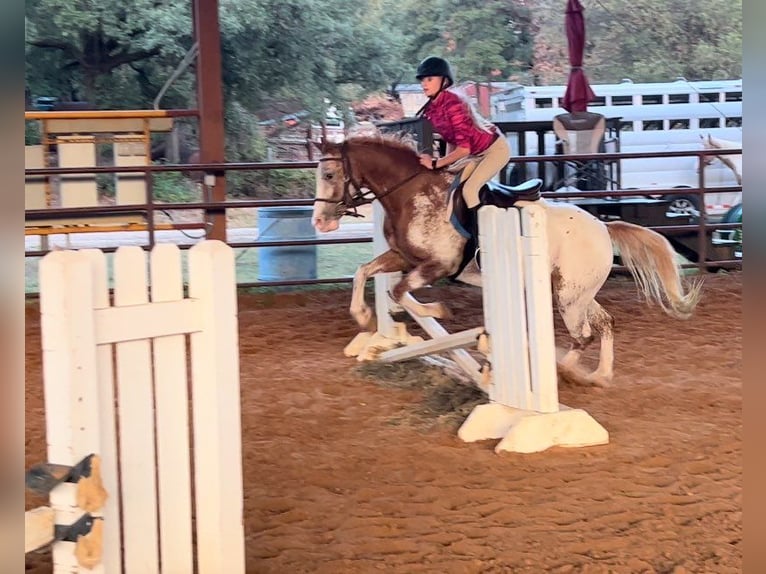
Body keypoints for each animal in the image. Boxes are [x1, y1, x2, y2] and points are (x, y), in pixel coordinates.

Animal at [310, 134, 704, 388]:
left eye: (329, 175)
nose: (320, 222)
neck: (412, 194)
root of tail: (603, 227)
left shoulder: (436, 266)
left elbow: (402, 292)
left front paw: (437, 311)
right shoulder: (402, 258)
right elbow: (365, 273)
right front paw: (365, 318)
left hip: (568, 296)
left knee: (583, 336)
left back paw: (563, 371)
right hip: (574, 291)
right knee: (604, 324)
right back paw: (600, 376)